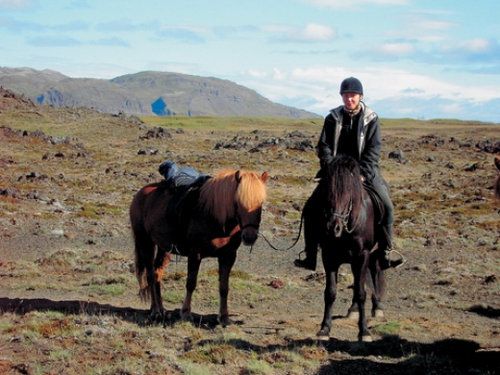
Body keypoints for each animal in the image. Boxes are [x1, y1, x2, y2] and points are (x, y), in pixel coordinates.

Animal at [131, 169, 268, 324]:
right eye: (238, 202)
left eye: (261, 203)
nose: (250, 237)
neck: (216, 217)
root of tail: (140, 194)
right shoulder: (195, 254)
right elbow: (191, 283)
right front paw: (185, 313)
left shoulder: (228, 256)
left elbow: (224, 287)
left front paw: (224, 317)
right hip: (145, 242)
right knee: (149, 275)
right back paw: (155, 311)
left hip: (164, 248)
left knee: (157, 273)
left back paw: (161, 309)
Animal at [314, 154, 384, 342]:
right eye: (327, 194)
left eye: (348, 196)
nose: (333, 227)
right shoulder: (329, 256)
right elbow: (330, 292)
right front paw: (325, 329)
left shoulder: (362, 255)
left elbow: (361, 293)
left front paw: (364, 332)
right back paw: (353, 310)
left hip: (373, 254)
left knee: (375, 273)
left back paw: (378, 307)